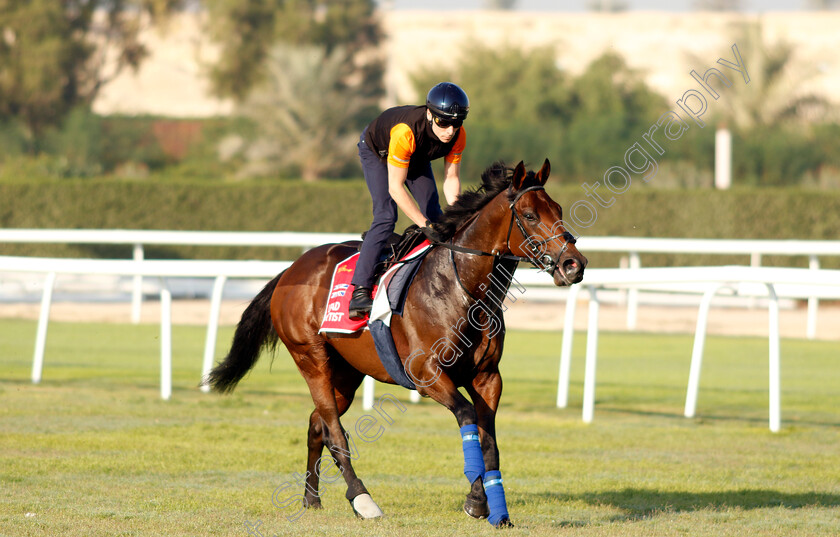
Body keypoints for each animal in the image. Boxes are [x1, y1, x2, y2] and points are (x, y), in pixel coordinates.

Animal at [204, 159, 588, 528]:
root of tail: (290, 270)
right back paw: (363, 500)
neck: (461, 289)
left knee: (318, 424)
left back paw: (311, 499)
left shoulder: (488, 377)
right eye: (529, 215)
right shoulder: (426, 373)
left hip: (346, 373)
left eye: (558, 209)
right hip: (311, 359)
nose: (575, 264)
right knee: (335, 431)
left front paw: (497, 510)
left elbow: (488, 436)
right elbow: (467, 417)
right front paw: (478, 501)